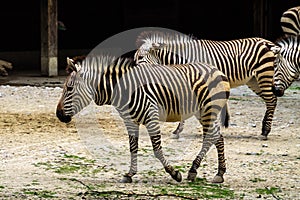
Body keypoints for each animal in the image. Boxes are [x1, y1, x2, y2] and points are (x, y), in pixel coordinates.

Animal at [55, 54, 230, 183]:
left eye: (69, 88)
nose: (58, 115)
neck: (125, 89)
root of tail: (216, 70)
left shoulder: (151, 117)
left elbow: (157, 150)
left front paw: (174, 173)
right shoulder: (130, 121)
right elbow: (133, 148)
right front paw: (129, 174)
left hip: (208, 110)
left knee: (211, 137)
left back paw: (200, 171)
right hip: (202, 112)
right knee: (217, 136)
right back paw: (216, 173)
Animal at [134, 31, 278, 141]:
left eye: (140, 58)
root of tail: (268, 43)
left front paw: (179, 130)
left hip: (263, 74)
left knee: (271, 100)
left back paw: (265, 132)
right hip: (253, 80)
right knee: (271, 100)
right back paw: (263, 130)